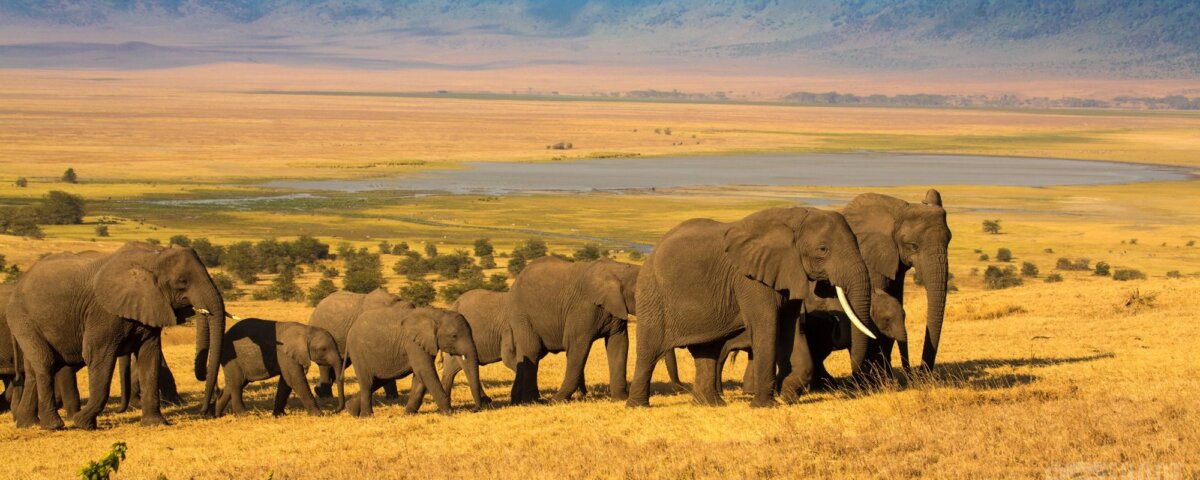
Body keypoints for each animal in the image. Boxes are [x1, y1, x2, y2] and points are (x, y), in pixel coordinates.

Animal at [6, 242, 227, 429]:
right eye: (182, 282)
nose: (205, 411)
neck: (151, 257)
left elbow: (150, 357)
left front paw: (155, 423)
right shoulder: (102, 313)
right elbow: (98, 356)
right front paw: (83, 423)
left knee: (33, 370)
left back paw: (28, 424)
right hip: (22, 317)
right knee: (45, 363)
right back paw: (54, 425)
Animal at [214, 318, 345, 417]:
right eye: (323, 349)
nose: (335, 410)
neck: (306, 330)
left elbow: (286, 382)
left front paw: (279, 415)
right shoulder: (285, 354)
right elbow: (295, 380)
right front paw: (319, 415)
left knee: (233, 384)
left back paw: (217, 414)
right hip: (231, 357)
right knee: (237, 383)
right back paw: (243, 415)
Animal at [346, 304, 484, 416]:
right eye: (454, 336)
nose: (474, 409)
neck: (437, 313)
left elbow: (420, 377)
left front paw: (408, 414)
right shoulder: (413, 343)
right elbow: (425, 371)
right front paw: (449, 413)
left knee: (379, 380)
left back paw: (351, 410)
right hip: (358, 351)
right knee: (368, 383)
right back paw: (366, 416)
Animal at [506, 257, 639, 405]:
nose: (586, 395)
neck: (620, 270)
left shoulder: (616, 308)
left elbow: (619, 344)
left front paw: (620, 399)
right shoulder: (583, 307)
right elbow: (576, 346)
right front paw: (557, 401)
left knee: (525, 353)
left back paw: (518, 401)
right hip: (521, 314)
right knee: (532, 350)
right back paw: (532, 401)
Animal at [627, 207, 879, 408]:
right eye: (823, 249)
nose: (856, 383)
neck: (795, 219)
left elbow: (791, 328)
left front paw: (788, 396)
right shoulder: (749, 279)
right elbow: (767, 325)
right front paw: (765, 405)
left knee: (707, 350)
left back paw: (710, 404)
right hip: (652, 293)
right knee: (649, 349)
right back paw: (638, 406)